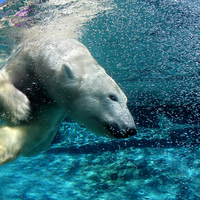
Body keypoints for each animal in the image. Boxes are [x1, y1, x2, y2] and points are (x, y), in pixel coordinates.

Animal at [0, 35, 136, 166]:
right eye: (112, 97)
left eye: (125, 100)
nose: (130, 129)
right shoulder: (25, 59)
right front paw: (19, 108)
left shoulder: (53, 102)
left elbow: (36, 127)